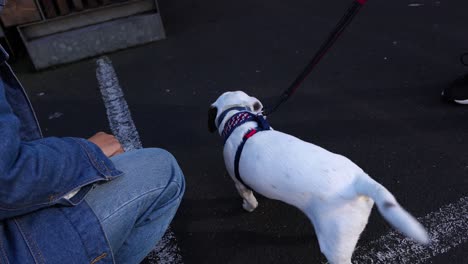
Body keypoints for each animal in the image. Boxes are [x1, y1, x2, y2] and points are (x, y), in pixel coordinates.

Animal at [210, 91, 430, 264]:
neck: (242, 124)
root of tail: (360, 181)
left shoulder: (238, 182)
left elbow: (249, 198)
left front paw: (248, 207)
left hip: (336, 250)